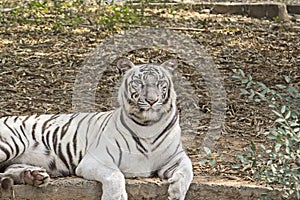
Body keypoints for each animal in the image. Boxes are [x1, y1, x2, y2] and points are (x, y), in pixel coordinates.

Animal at [0, 58, 193, 199]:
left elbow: (187, 170)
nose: (152, 100)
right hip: (11, 144)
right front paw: (116, 197)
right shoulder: (95, 160)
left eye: (160, 83)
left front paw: (176, 193)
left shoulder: (175, 157)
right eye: (138, 83)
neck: (148, 126)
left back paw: (33, 176)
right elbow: (116, 175)